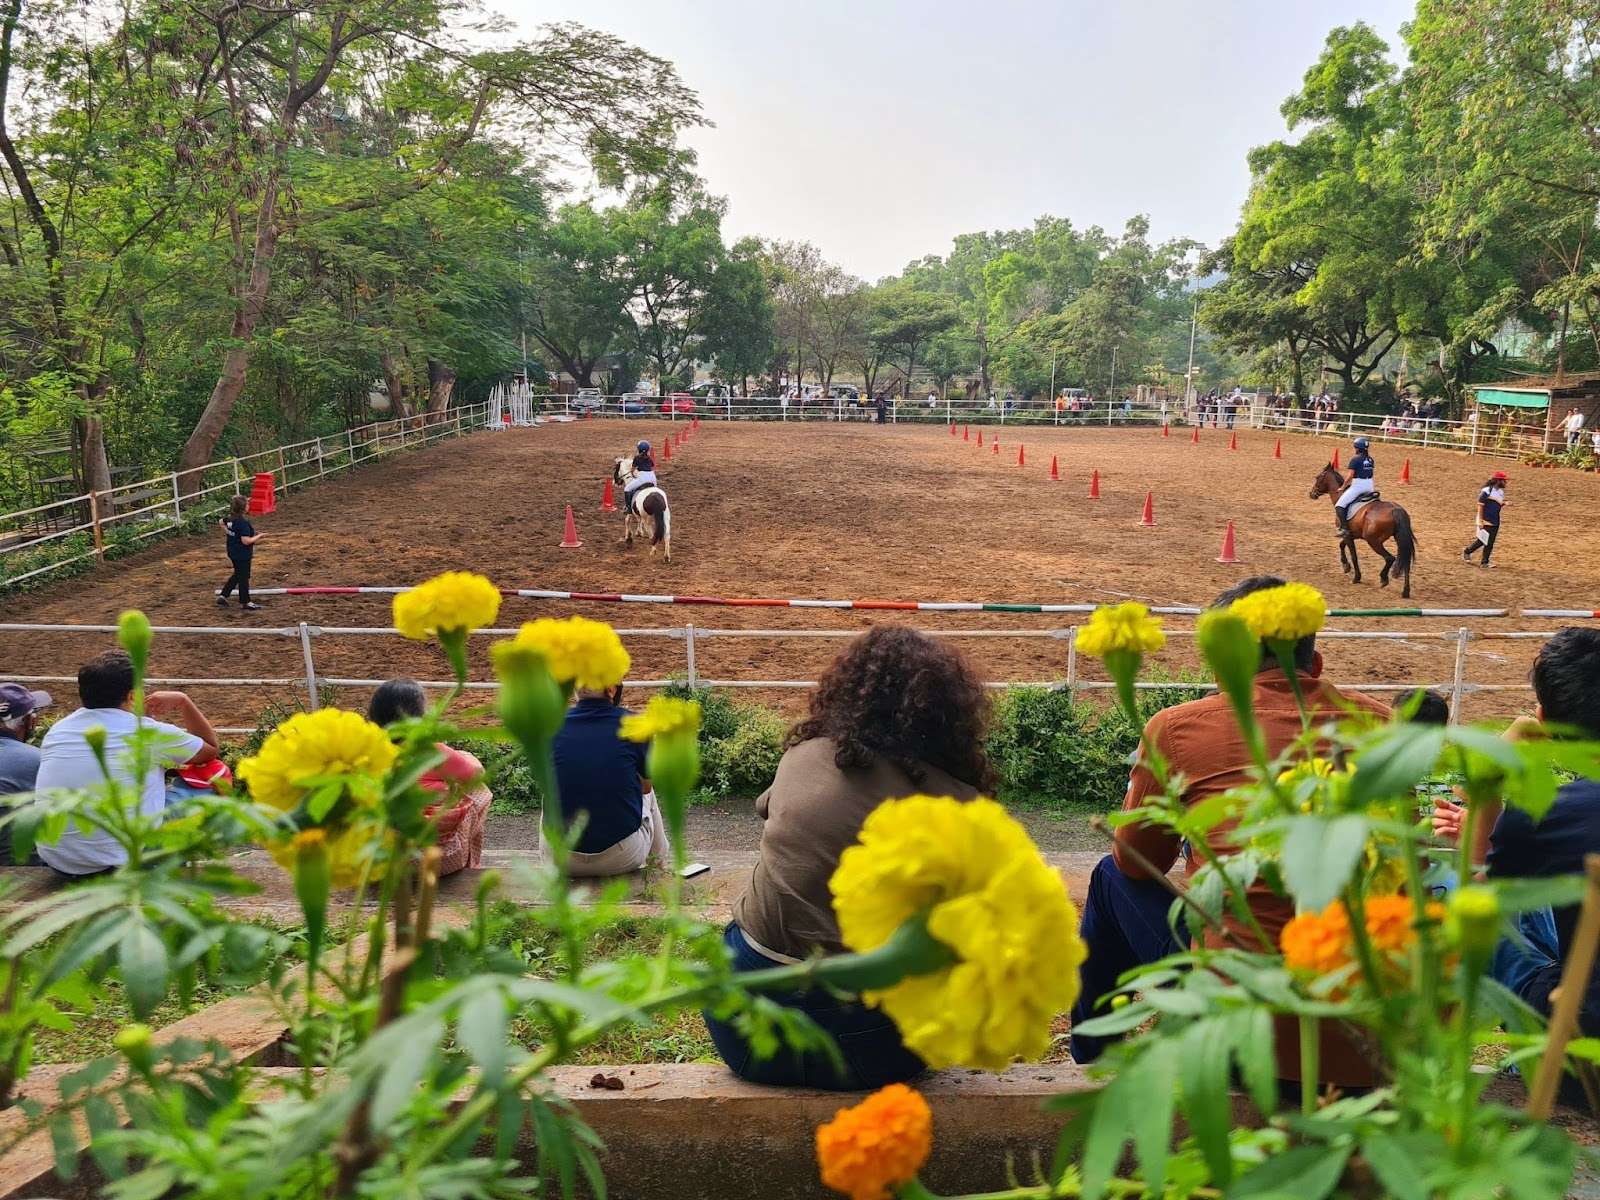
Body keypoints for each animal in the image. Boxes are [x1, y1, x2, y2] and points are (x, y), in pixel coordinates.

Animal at [1309, 464, 1417, 598]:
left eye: (1317, 477)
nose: (1311, 493)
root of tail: (1395, 509)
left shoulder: (1348, 536)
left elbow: (1353, 555)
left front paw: (1356, 577)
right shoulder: (1352, 534)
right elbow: (1341, 545)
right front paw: (1346, 566)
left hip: (1373, 541)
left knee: (1390, 558)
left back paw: (1383, 579)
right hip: (1398, 539)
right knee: (1405, 563)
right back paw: (1405, 591)